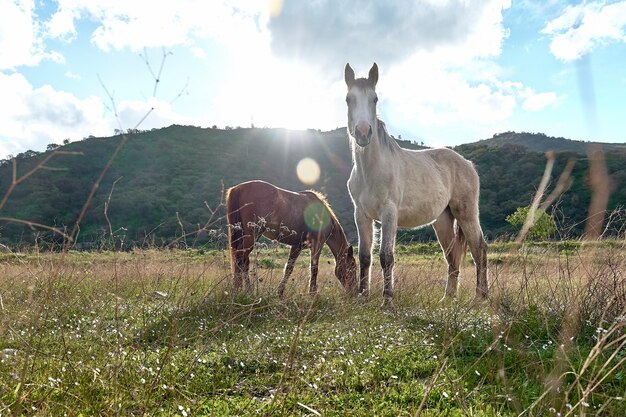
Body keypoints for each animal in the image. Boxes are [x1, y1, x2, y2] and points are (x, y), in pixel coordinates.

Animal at [225, 180, 356, 296]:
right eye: (352, 268)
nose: (353, 293)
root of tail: (238, 188)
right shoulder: (317, 244)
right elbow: (314, 268)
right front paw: (313, 294)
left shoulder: (296, 246)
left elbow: (289, 268)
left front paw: (280, 293)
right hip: (251, 236)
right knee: (240, 259)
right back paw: (242, 290)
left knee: (243, 262)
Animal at [344, 61, 486, 304]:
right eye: (348, 99)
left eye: (375, 99)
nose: (363, 133)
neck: (370, 170)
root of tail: (467, 163)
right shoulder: (361, 215)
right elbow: (364, 256)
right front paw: (362, 298)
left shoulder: (389, 214)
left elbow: (386, 257)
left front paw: (387, 301)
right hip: (443, 220)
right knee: (453, 256)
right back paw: (447, 298)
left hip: (466, 213)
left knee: (479, 249)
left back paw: (480, 298)